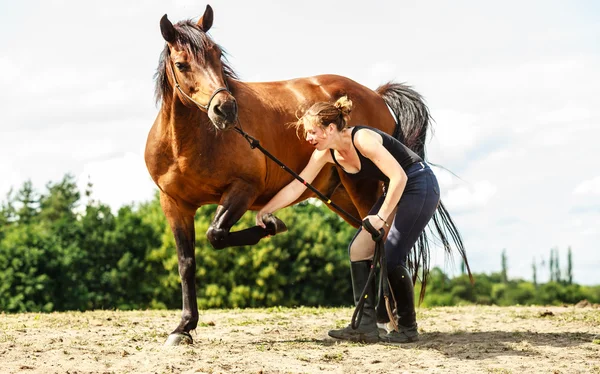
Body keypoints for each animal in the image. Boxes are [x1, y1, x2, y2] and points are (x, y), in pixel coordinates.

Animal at [145, 4, 468, 346]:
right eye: (181, 64)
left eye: (218, 55)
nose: (226, 110)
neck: (191, 143)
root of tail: (376, 95)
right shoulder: (175, 205)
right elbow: (186, 263)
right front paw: (183, 327)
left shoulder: (243, 190)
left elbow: (216, 234)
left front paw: (271, 226)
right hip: (343, 198)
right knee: (376, 248)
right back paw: (381, 320)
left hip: (366, 193)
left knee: (383, 245)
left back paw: (391, 323)